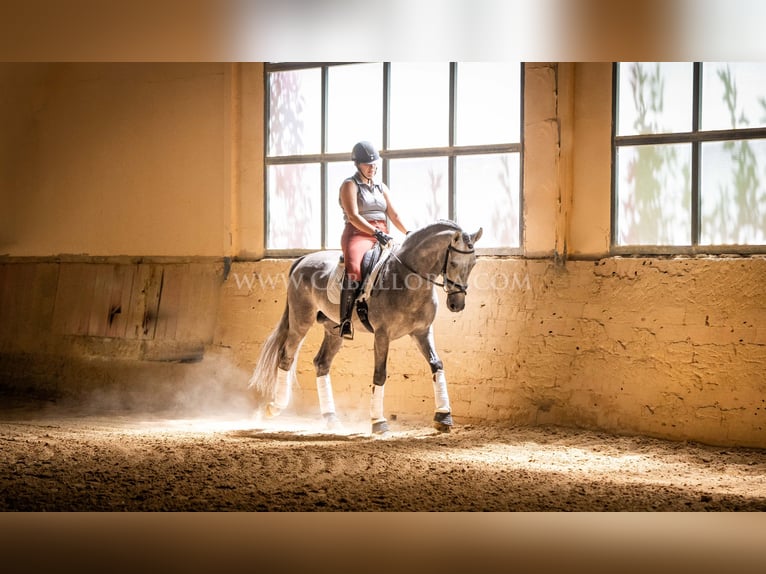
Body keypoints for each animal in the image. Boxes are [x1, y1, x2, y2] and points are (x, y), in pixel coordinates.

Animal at [249, 222, 484, 436]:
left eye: (473, 263)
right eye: (453, 262)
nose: (457, 304)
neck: (407, 278)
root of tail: (302, 259)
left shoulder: (422, 332)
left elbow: (437, 364)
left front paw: (443, 416)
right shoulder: (382, 334)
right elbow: (380, 374)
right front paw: (378, 422)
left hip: (333, 329)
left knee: (322, 363)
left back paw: (331, 419)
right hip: (301, 321)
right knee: (286, 356)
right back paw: (275, 407)